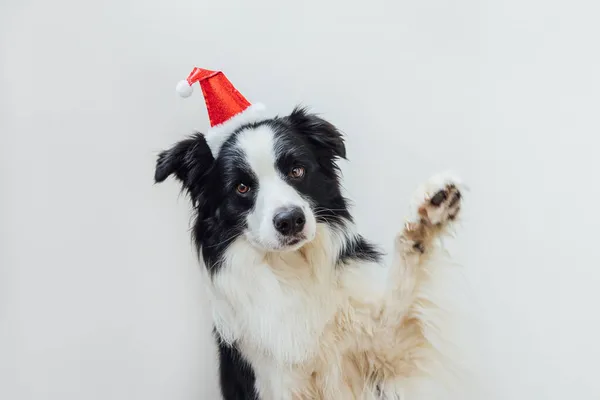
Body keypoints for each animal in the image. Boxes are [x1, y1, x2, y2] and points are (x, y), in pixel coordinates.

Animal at [155, 107, 464, 400]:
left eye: (297, 171)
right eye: (241, 187)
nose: (290, 220)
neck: (293, 267)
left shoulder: (382, 352)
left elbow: (402, 293)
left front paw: (428, 216)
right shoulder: (271, 380)